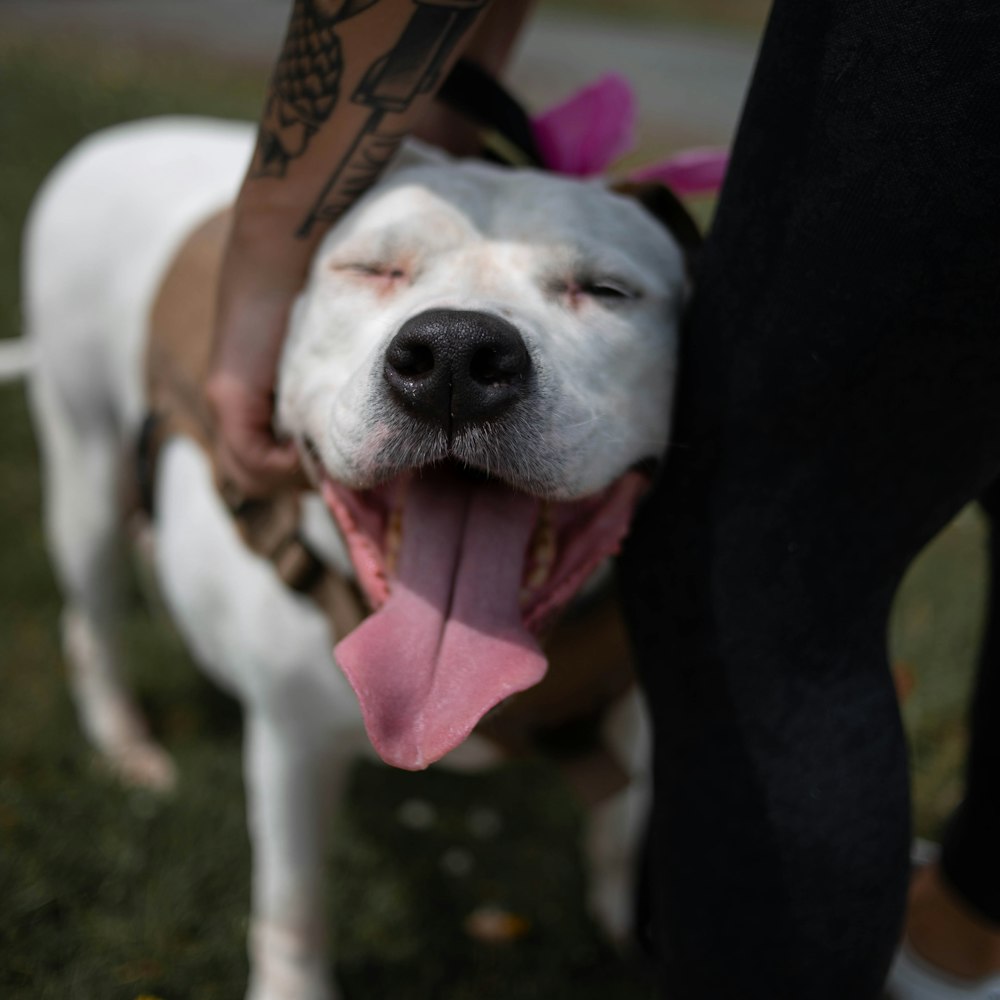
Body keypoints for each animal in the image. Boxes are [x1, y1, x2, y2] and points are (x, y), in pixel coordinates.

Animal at [17, 117, 688, 1000]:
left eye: (607, 291)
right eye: (369, 268)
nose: (455, 355)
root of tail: (123, 134)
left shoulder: (639, 710)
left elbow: (625, 819)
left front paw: (630, 923)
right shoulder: (292, 741)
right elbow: (294, 902)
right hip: (84, 467)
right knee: (91, 620)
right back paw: (126, 742)